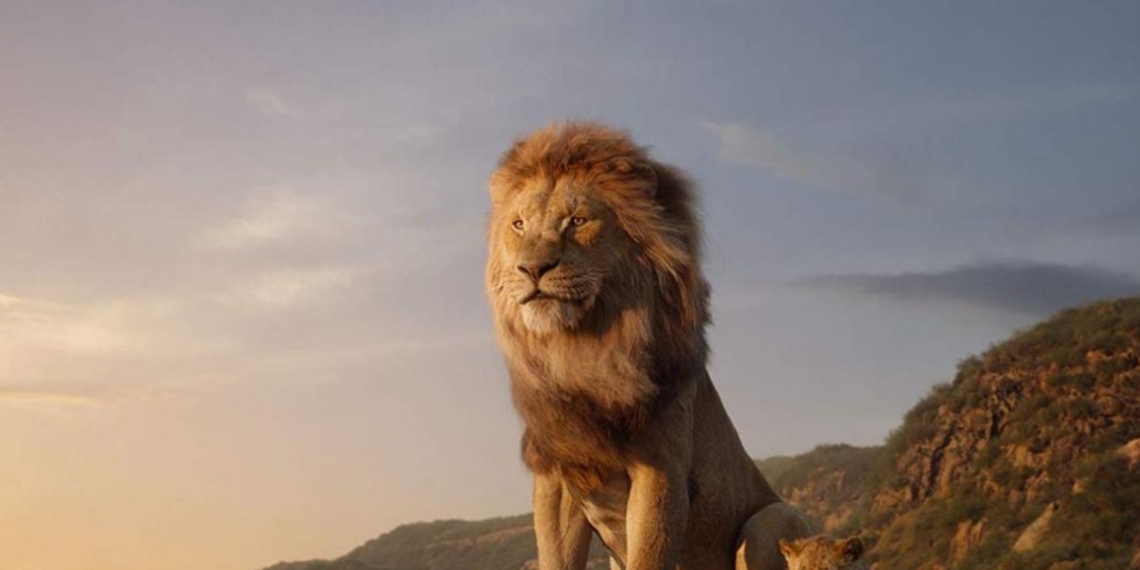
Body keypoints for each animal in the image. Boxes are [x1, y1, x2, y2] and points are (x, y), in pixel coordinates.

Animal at [485, 121, 812, 570]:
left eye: (577, 220)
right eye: (518, 225)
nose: (532, 268)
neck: (581, 350)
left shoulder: (661, 472)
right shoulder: (556, 478)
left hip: (773, 518)